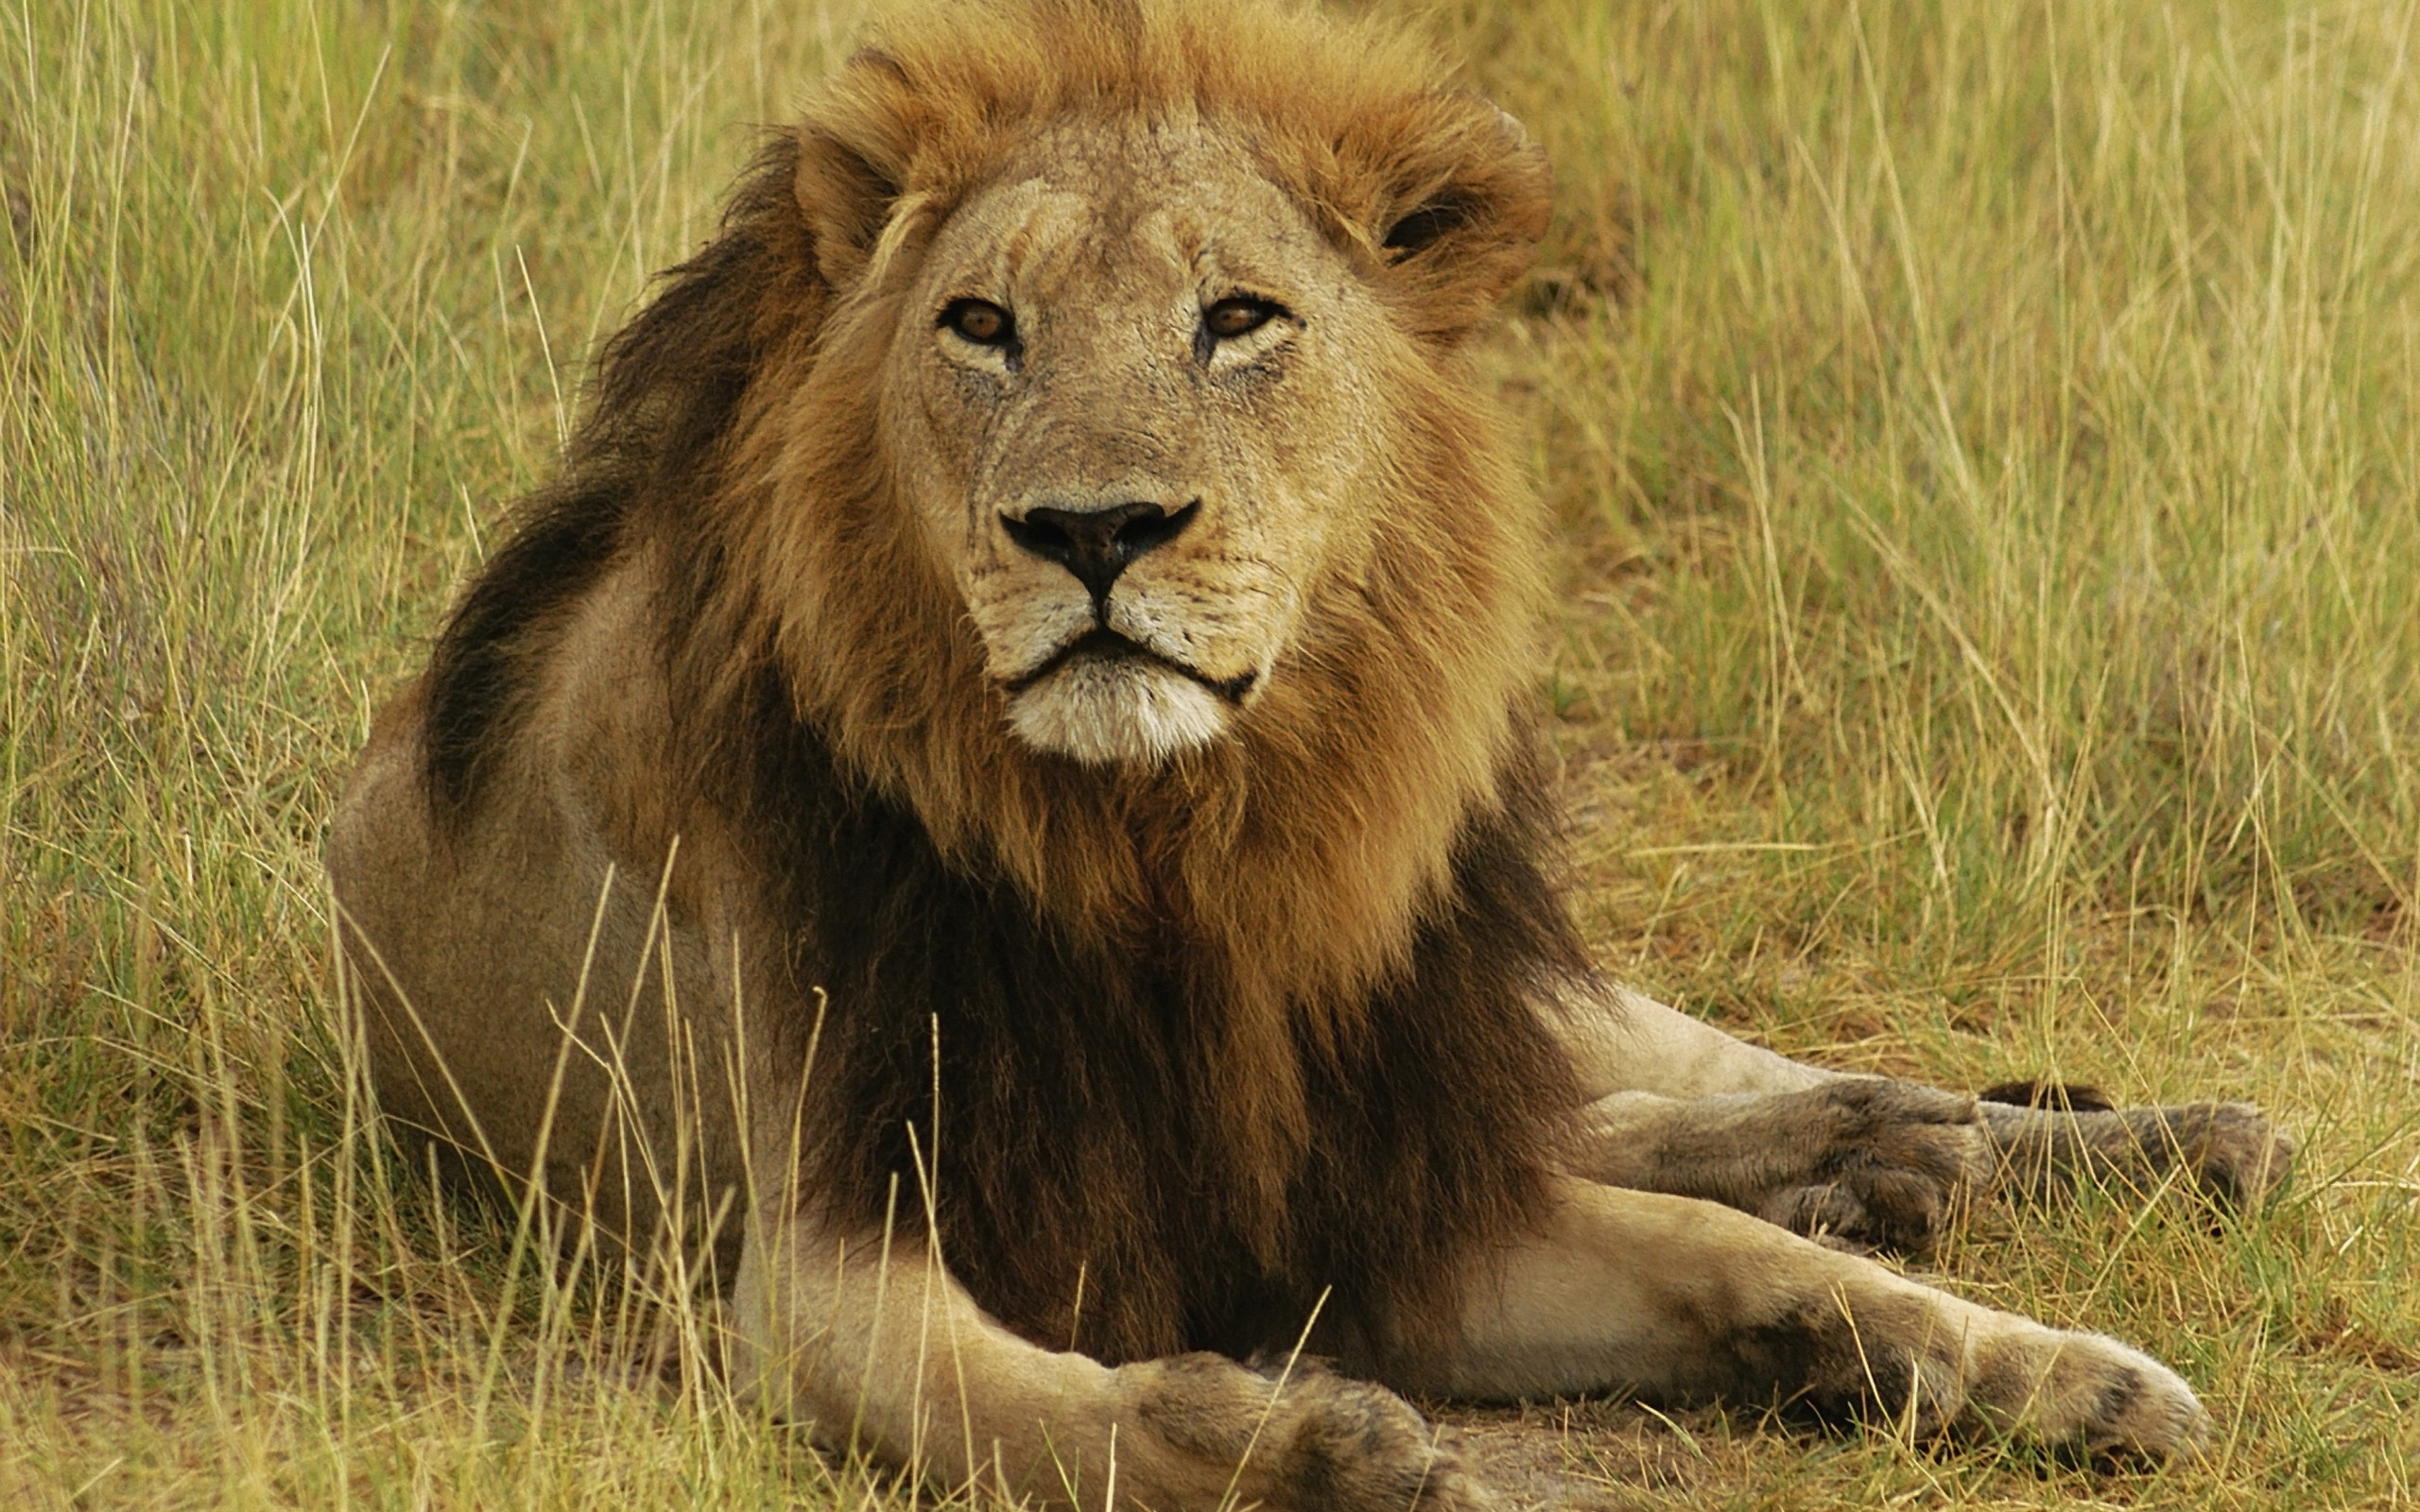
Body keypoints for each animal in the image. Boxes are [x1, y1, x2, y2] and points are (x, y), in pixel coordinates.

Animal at [331, 6, 2293, 1500]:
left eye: (1238, 321)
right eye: (982, 325)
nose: (1094, 529)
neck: (1178, 851)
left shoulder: (1387, 1192)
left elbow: (1717, 1252)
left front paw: (2052, 1370)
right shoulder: (821, 1245)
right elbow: (1025, 1407)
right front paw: (1312, 1447)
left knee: (1674, 1079)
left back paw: (2070, 1141)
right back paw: (1876, 1162)